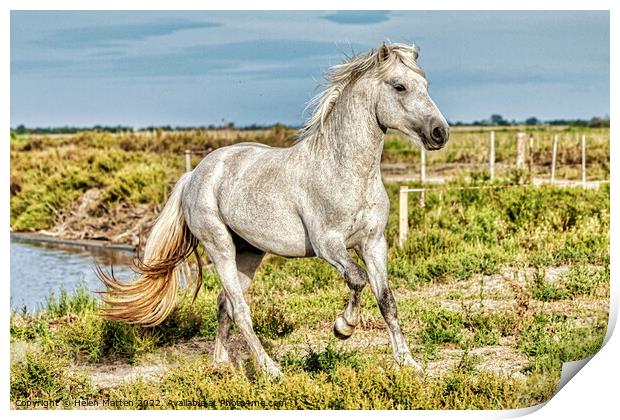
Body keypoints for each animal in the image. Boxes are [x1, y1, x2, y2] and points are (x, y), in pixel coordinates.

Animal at [97, 42, 448, 378]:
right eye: (399, 86)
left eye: (426, 83)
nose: (440, 133)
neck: (345, 169)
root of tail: (196, 173)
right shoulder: (328, 245)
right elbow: (358, 279)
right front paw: (343, 328)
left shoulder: (373, 243)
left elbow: (387, 300)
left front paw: (409, 364)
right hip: (220, 247)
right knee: (239, 308)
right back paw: (269, 370)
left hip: (249, 252)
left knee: (225, 303)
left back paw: (221, 364)